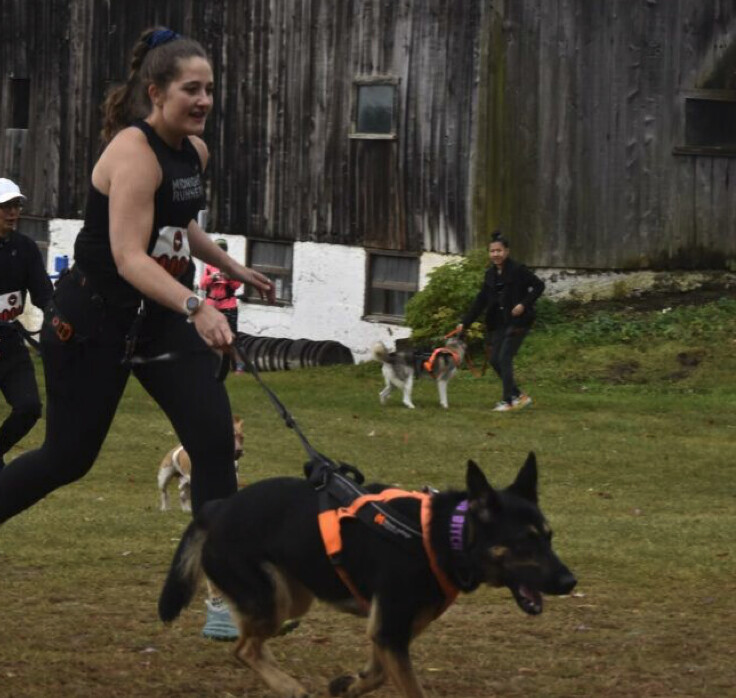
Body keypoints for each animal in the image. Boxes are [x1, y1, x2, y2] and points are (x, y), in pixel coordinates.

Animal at [158, 452, 576, 697]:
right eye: (525, 543)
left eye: (549, 537)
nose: (571, 582)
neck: (443, 535)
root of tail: (215, 508)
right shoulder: (391, 628)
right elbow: (408, 688)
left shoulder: (390, 629)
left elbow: (376, 674)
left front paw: (347, 685)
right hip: (271, 597)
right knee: (243, 649)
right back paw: (287, 685)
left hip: (293, 596)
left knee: (253, 644)